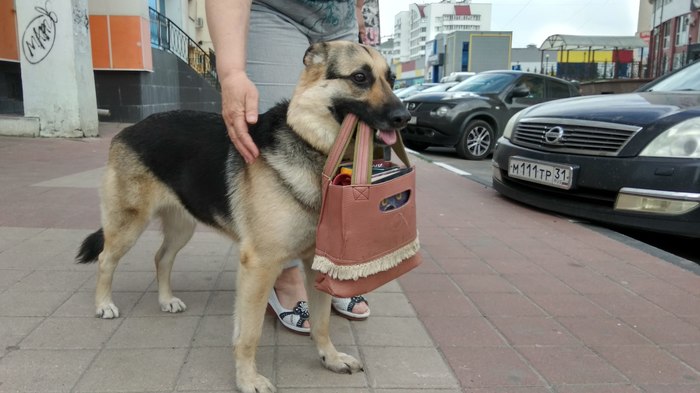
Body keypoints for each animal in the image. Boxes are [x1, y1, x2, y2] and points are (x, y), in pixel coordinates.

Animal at [78, 41, 410, 390]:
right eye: (360, 77)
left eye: (392, 79)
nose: (404, 117)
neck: (309, 142)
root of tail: (129, 129)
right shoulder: (259, 266)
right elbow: (249, 334)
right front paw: (247, 379)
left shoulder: (314, 263)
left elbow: (321, 322)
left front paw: (330, 358)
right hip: (129, 224)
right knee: (106, 259)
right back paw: (103, 305)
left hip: (182, 226)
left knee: (162, 258)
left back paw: (166, 299)